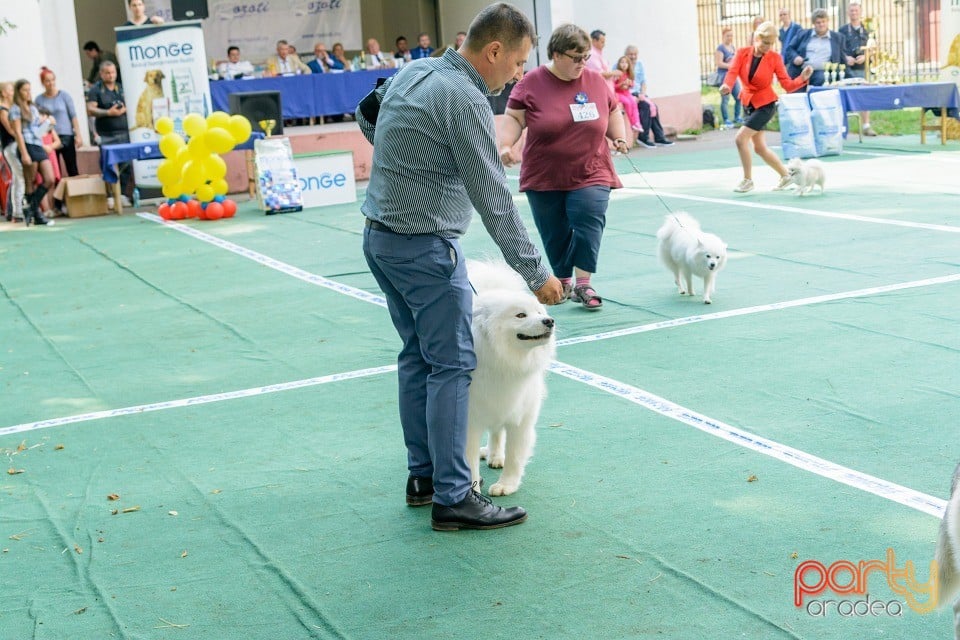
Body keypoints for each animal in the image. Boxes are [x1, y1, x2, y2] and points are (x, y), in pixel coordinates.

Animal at [464, 258, 556, 496]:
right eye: (521, 315)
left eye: (539, 311)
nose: (549, 320)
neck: (503, 362)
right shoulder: (468, 422)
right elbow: (468, 461)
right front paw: (472, 491)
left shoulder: (521, 417)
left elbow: (515, 454)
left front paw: (506, 485)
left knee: (497, 433)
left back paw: (495, 457)